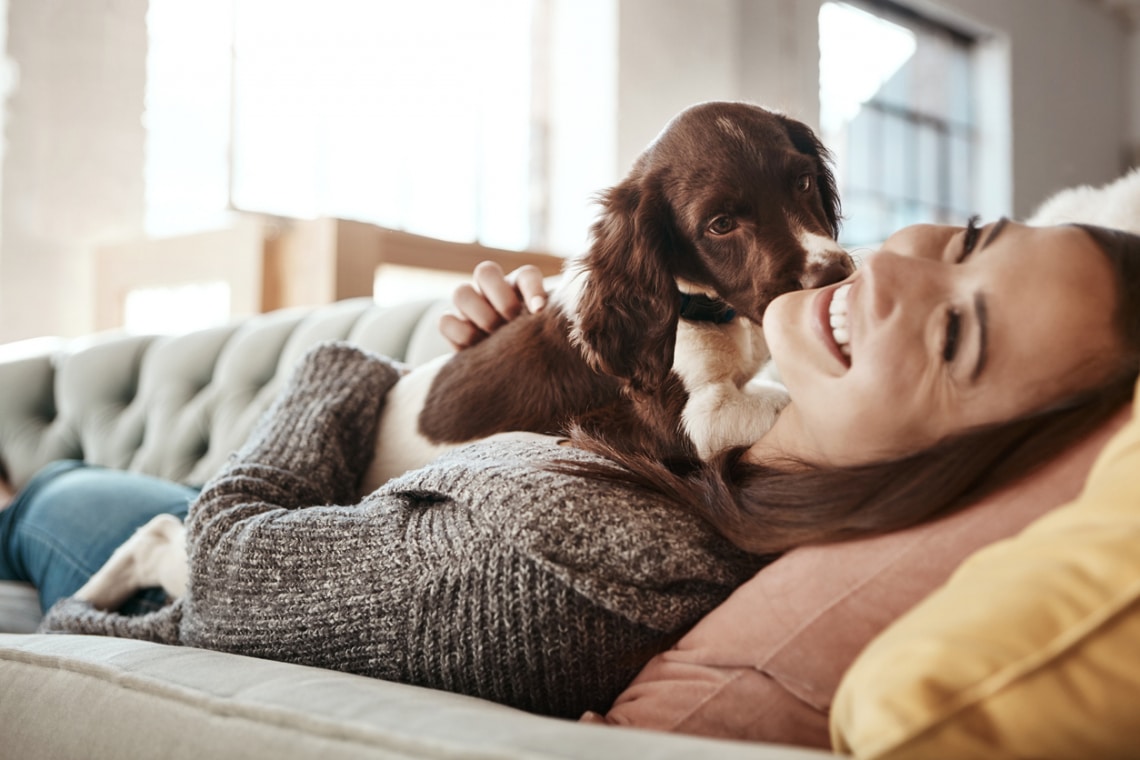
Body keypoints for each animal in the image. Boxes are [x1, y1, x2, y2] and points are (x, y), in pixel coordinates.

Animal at [360, 100, 852, 489]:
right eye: (721, 224)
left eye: (804, 182)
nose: (834, 275)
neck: (707, 310)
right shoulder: (684, 423)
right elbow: (783, 399)